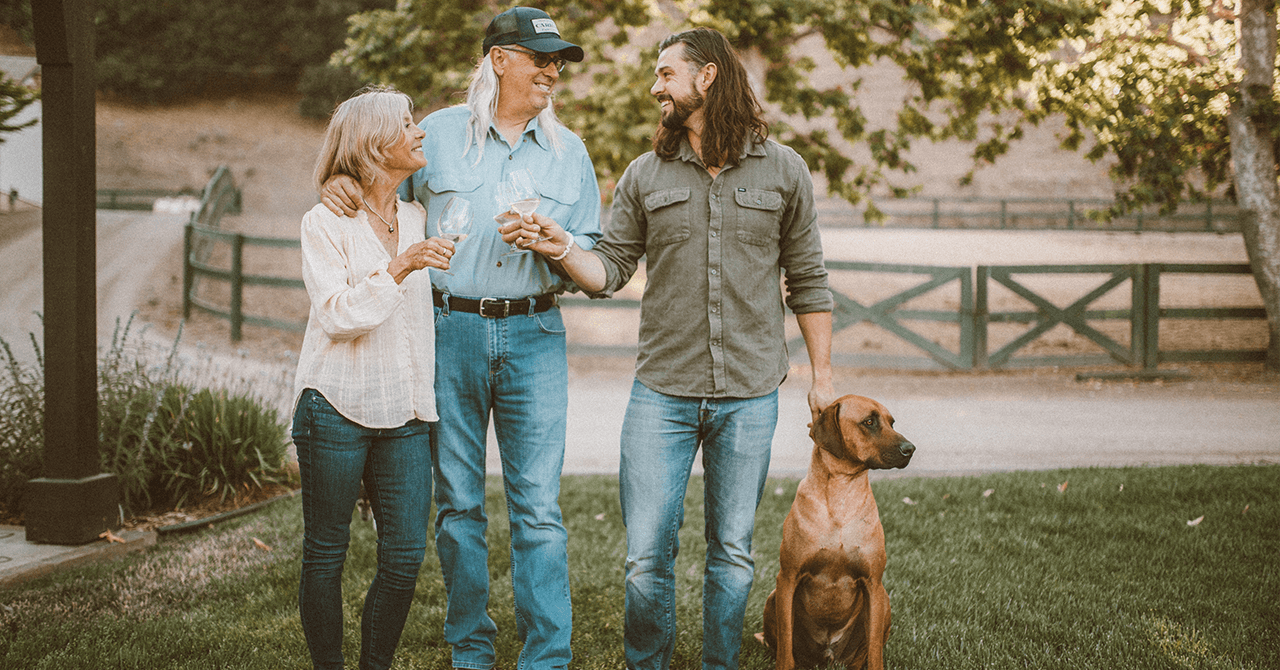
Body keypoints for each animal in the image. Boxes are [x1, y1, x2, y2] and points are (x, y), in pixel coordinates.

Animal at [757, 397, 911, 666]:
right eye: (869, 422)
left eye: (891, 423)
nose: (910, 449)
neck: (841, 494)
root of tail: (828, 655)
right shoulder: (787, 578)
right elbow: (785, 646)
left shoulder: (873, 583)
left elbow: (875, 651)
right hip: (773, 598)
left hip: (884, 601)